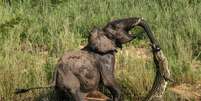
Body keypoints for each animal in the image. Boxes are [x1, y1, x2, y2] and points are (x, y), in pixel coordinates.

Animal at [14, 17, 161, 100]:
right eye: (115, 27)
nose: (156, 47)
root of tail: (55, 73)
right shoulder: (105, 58)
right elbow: (109, 81)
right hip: (70, 81)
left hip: (60, 87)